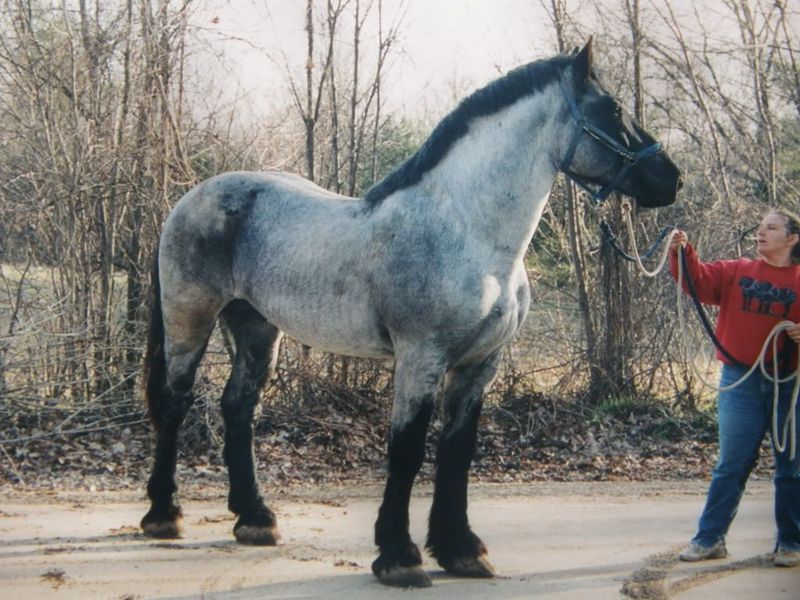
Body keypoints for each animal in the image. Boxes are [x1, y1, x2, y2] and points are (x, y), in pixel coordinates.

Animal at [142, 39, 680, 588]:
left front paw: (460, 549)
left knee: (237, 407)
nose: (671, 180)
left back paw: (255, 519)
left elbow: (457, 452)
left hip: (256, 327)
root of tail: (189, 200)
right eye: (613, 109)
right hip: (190, 320)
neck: (466, 231)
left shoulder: (478, 365)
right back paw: (165, 514)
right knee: (174, 402)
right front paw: (399, 556)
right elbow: (407, 449)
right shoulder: (422, 358)